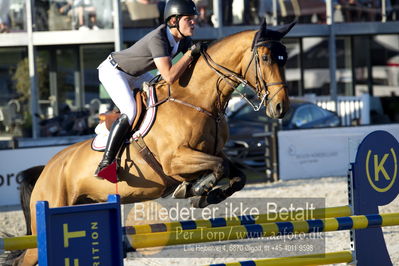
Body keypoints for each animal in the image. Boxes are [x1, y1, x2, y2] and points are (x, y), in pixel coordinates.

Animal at [12, 19, 296, 264]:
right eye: (266, 58)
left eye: (285, 58)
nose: (280, 107)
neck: (196, 100)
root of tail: (47, 169)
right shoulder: (175, 161)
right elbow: (219, 167)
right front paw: (195, 189)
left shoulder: (214, 152)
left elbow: (236, 174)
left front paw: (204, 194)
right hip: (51, 210)